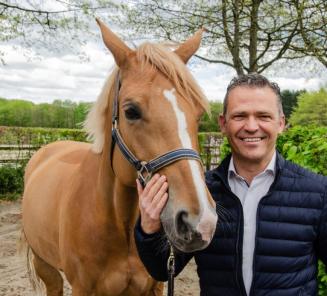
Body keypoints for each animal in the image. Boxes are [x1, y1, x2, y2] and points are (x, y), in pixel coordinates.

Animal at [21, 19, 219, 296]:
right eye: (131, 111)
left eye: (199, 113)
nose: (200, 222)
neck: (117, 222)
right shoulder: (81, 288)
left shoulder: (155, 286)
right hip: (45, 265)